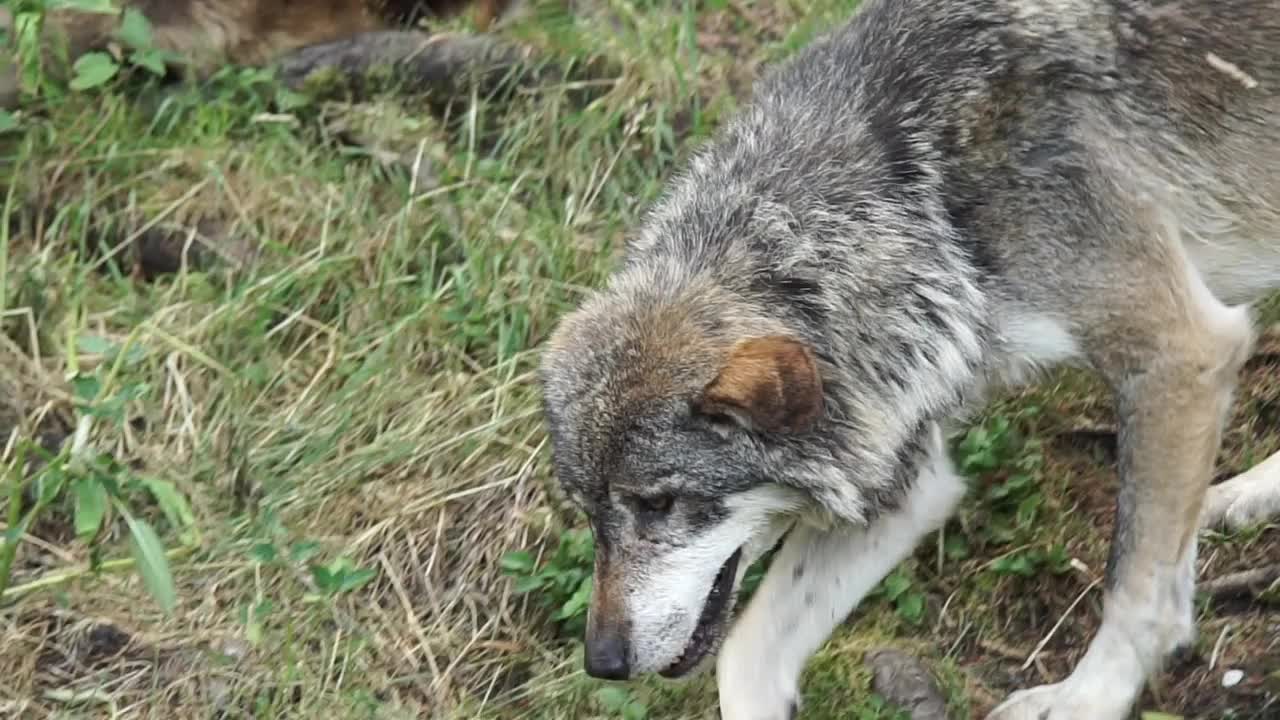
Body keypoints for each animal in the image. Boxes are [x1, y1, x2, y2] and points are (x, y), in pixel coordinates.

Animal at [535, 1, 1280, 717]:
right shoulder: (909, 470)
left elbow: (1137, 587)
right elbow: (743, 659)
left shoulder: (1181, 354)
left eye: (659, 504)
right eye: (588, 512)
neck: (923, 190)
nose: (603, 662)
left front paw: (1085, 700)